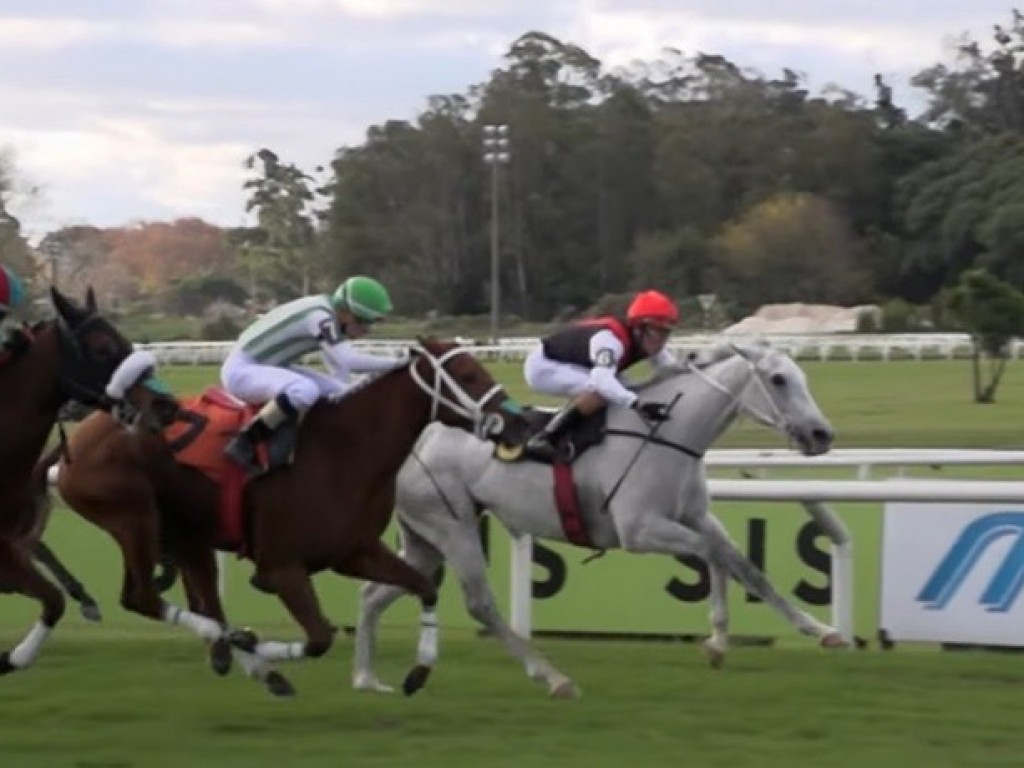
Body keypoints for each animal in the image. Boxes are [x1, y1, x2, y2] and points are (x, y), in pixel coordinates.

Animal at [48, 335, 528, 696]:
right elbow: (319, 638)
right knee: (143, 597)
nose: (516, 422)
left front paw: (419, 671)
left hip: (187, 534)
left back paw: (241, 657)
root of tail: (78, 438)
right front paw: (254, 644)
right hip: (135, 520)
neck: (345, 450)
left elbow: (425, 586)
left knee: (202, 600)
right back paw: (240, 651)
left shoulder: (354, 552)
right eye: (467, 374)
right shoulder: (282, 569)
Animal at [348, 342, 843, 696]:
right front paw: (718, 641)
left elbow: (743, 564)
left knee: (376, 593)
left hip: (426, 536)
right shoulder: (640, 529)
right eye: (778, 379)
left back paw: (366, 678)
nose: (822, 434)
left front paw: (821, 630)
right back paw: (551, 677)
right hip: (453, 527)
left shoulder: (696, 516)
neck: (666, 433)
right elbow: (712, 554)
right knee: (479, 603)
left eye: (802, 376)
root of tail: (417, 439)